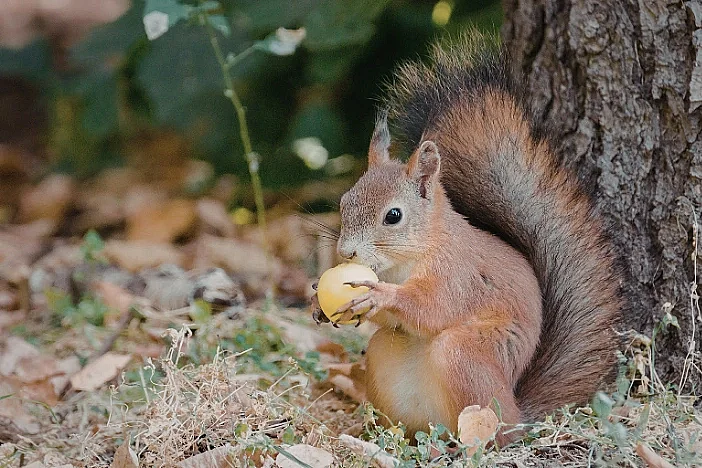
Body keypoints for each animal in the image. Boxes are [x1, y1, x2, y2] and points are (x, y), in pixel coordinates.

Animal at [311, 34, 622, 446]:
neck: (409, 258)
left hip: (466, 357)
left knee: (487, 427)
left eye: (393, 216)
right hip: (384, 357)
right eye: (345, 202)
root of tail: (518, 416)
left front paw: (380, 296)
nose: (345, 252)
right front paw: (317, 300)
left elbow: (432, 308)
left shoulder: (456, 273)